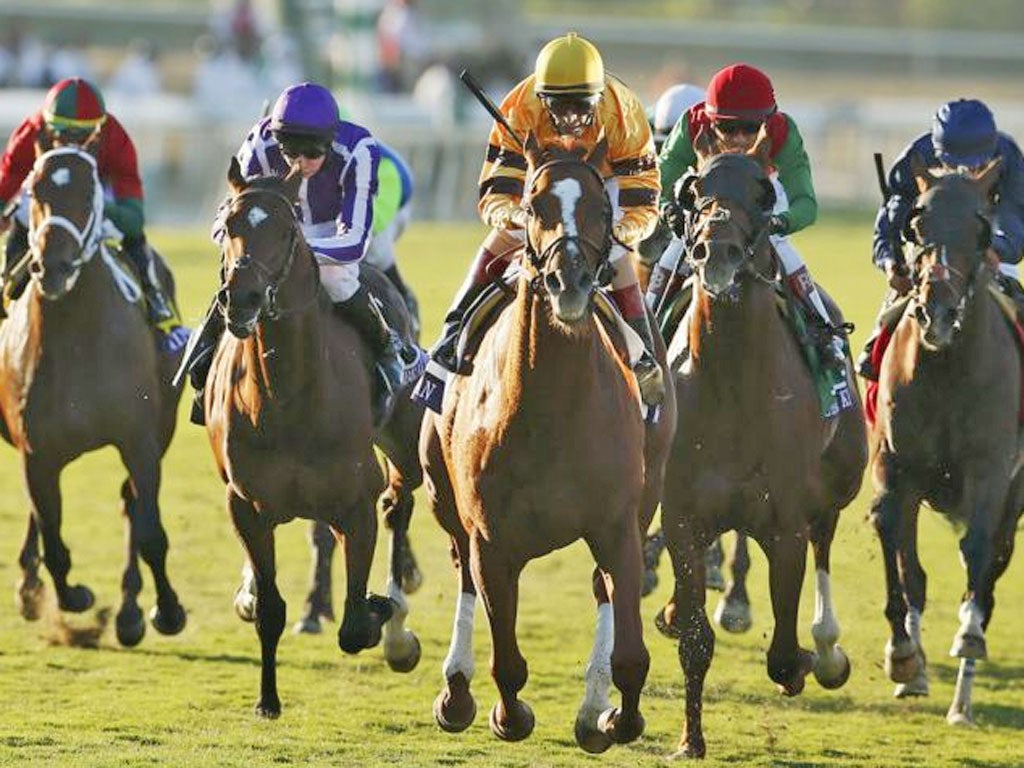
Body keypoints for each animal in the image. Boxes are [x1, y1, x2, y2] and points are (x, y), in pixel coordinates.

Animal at [0, 143, 187, 643]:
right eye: (35, 189)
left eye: (89, 193)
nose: (53, 266)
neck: (78, 340)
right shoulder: (36, 451)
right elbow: (52, 535)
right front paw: (73, 596)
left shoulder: (140, 442)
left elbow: (150, 532)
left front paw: (166, 611)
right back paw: (30, 588)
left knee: (131, 505)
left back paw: (129, 611)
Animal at [204, 159, 419, 720]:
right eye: (228, 225)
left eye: (286, 230)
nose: (242, 298)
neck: (288, 396)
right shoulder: (246, 505)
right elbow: (270, 610)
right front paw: (267, 699)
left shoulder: (355, 504)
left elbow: (355, 624)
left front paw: (383, 613)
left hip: (404, 443)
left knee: (401, 501)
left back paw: (398, 613)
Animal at [419, 132, 675, 753]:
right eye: (535, 206)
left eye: (602, 209)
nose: (570, 282)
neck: (554, 406)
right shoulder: (490, 538)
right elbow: (507, 661)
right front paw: (505, 714)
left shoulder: (619, 524)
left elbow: (632, 654)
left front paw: (612, 717)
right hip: (443, 498)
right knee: (462, 570)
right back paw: (455, 692)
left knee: (602, 588)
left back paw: (592, 705)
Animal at [655, 135, 872, 761]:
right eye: (695, 189)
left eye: (763, 192)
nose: (718, 250)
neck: (732, 381)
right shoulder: (683, 514)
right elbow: (695, 640)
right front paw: (690, 739)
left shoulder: (786, 522)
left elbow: (781, 652)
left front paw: (805, 660)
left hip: (838, 484)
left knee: (825, 544)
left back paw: (826, 649)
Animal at [864, 157, 1024, 729]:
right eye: (918, 223)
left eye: (980, 228)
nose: (937, 312)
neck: (947, 367)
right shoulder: (897, 467)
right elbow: (897, 546)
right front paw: (904, 657)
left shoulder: (990, 470)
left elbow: (977, 551)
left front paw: (965, 678)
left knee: (994, 561)